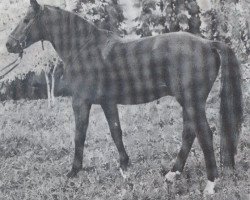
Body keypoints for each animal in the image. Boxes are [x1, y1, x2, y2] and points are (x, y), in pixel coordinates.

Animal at [6, 0, 242, 194]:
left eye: (26, 20)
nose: (9, 44)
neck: (84, 48)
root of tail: (208, 44)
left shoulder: (81, 102)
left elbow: (79, 135)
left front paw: (73, 171)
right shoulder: (108, 102)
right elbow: (116, 132)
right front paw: (125, 168)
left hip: (192, 101)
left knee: (204, 135)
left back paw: (210, 184)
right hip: (188, 102)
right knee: (189, 133)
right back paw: (172, 174)